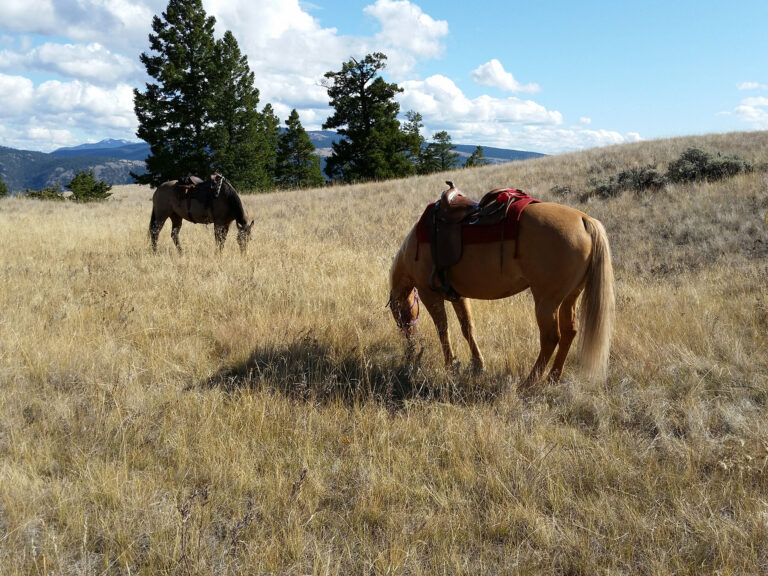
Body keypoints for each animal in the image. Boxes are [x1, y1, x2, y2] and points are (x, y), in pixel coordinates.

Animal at [388, 182, 615, 392]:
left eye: (400, 316)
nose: (410, 347)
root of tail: (584, 220)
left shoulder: (430, 294)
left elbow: (443, 329)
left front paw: (451, 366)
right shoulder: (458, 295)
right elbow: (467, 327)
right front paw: (477, 365)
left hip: (547, 301)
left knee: (551, 337)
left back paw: (529, 382)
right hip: (570, 296)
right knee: (570, 331)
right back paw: (553, 378)